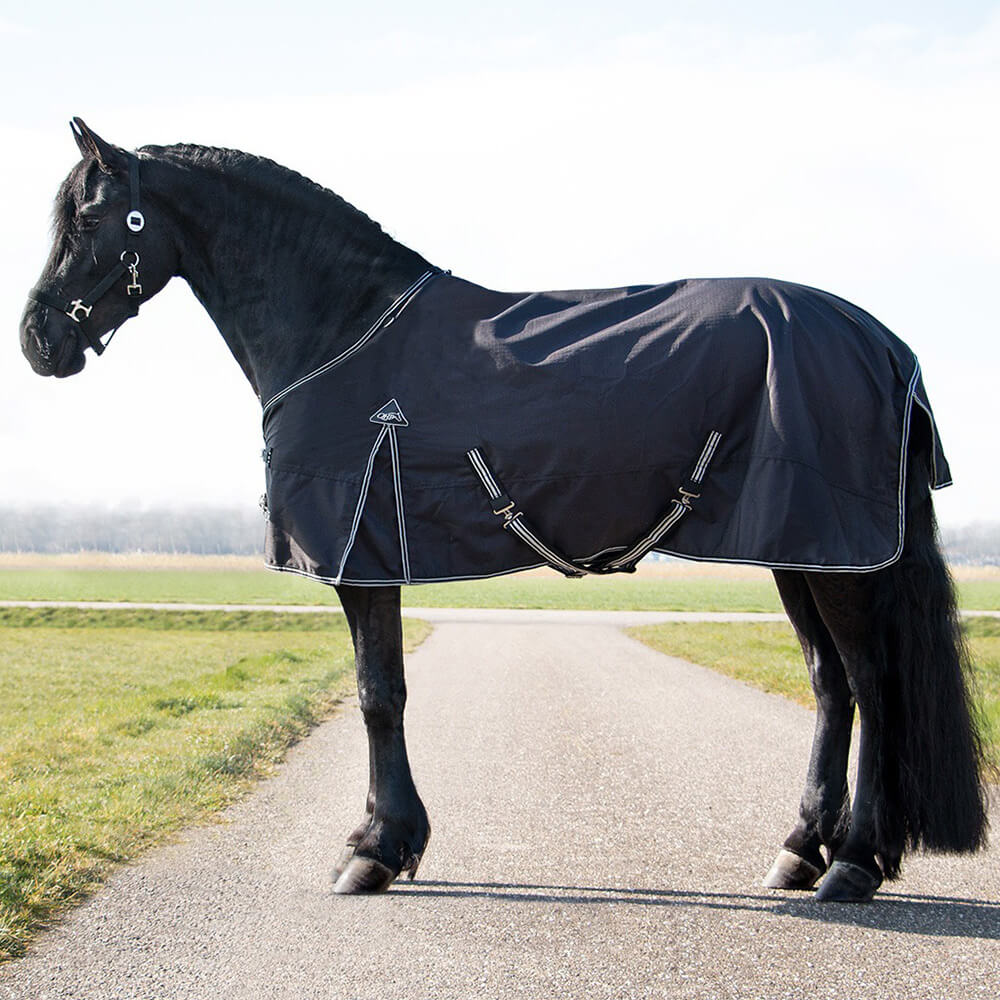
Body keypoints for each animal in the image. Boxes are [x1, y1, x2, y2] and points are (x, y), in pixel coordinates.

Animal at [20, 118, 989, 903]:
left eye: (92, 220)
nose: (38, 340)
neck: (344, 327)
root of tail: (884, 343)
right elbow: (381, 690)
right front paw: (385, 840)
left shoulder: (361, 555)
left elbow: (379, 693)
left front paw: (376, 851)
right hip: (805, 549)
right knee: (832, 687)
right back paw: (799, 851)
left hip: (836, 555)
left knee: (874, 685)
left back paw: (854, 864)